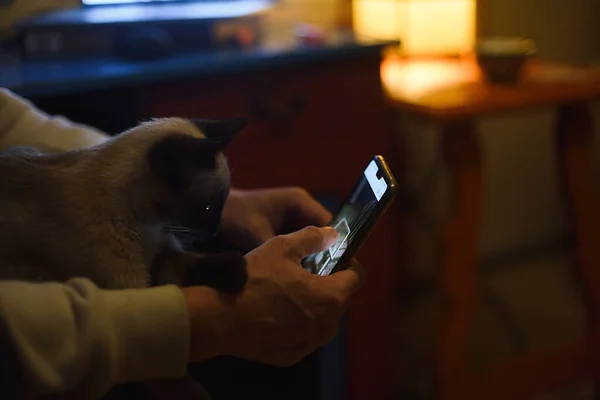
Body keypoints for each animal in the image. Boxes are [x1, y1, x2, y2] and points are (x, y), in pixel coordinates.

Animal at [0, 115, 248, 396]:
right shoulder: (137, 288)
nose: (215, 232)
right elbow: (189, 388)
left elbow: (193, 261)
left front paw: (236, 271)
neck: (149, 228)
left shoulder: (164, 259)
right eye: (208, 208)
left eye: (221, 205)